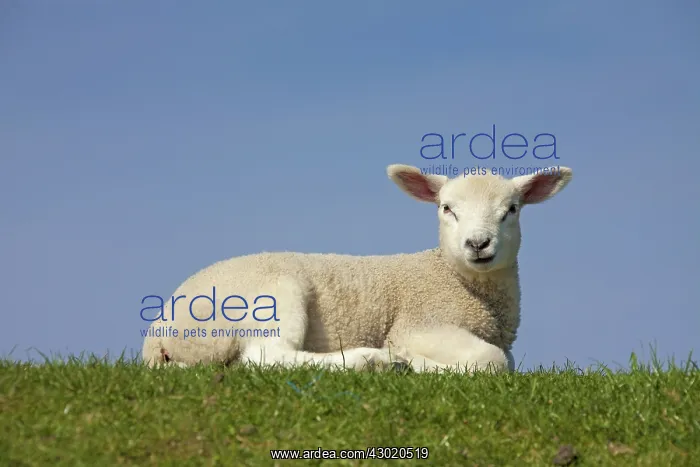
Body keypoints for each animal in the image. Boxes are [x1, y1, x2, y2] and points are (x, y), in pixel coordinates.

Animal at [141, 163, 572, 373]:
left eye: (511, 210)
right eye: (447, 208)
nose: (478, 244)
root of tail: (158, 332)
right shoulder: (419, 324)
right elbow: (495, 361)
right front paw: (414, 363)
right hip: (272, 297)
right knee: (266, 356)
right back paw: (372, 361)